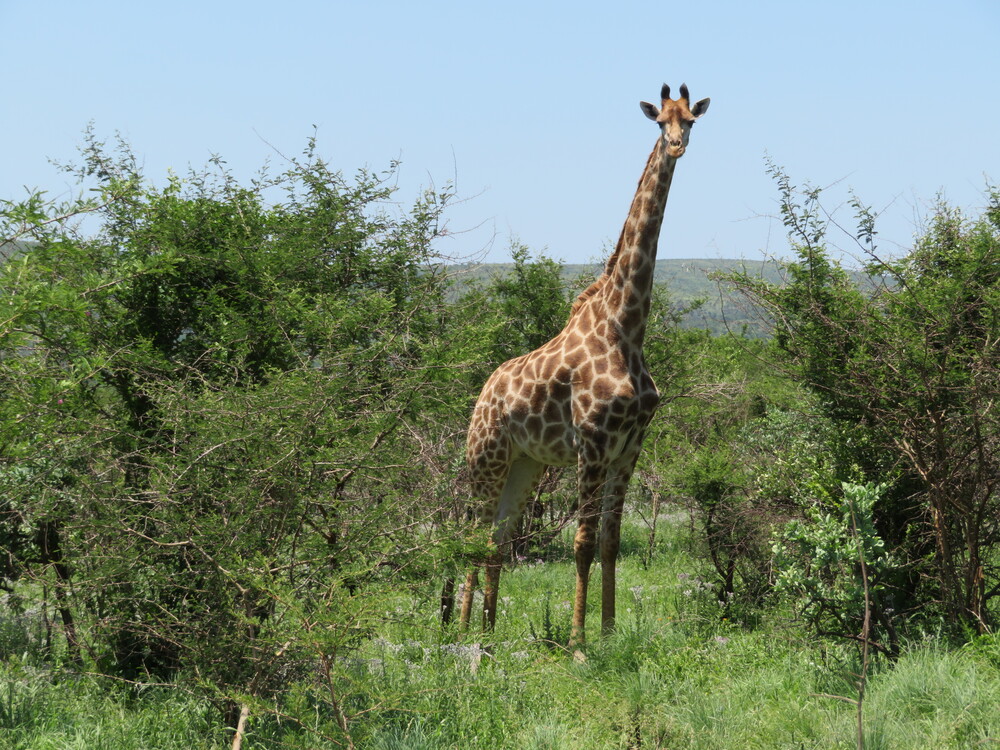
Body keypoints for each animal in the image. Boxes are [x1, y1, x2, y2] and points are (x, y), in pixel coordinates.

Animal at [458, 82, 708, 648]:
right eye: (659, 121)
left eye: (691, 121)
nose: (677, 146)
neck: (625, 326)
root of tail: (482, 395)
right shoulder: (592, 444)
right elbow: (583, 543)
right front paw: (577, 645)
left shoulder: (629, 447)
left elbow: (611, 543)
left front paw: (610, 633)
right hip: (485, 457)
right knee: (470, 535)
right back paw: (458, 635)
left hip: (524, 464)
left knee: (497, 539)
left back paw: (488, 632)